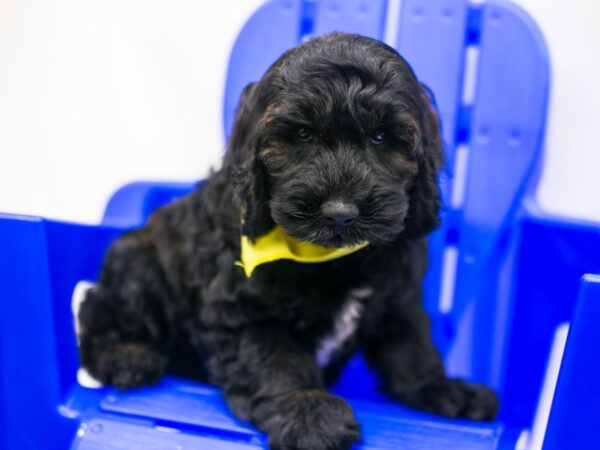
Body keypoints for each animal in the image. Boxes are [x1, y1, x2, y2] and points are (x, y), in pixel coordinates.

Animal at [78, 32, 496, 450]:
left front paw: (444, 388)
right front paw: (309, 411)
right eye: (302, 134)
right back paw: (126, 358)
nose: (340, 212)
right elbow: (275, 360)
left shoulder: (398, 296)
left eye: (381, 136)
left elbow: (413, 346)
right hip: (139, 264)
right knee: (96, 313)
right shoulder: (239, 310)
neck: (335, 258)